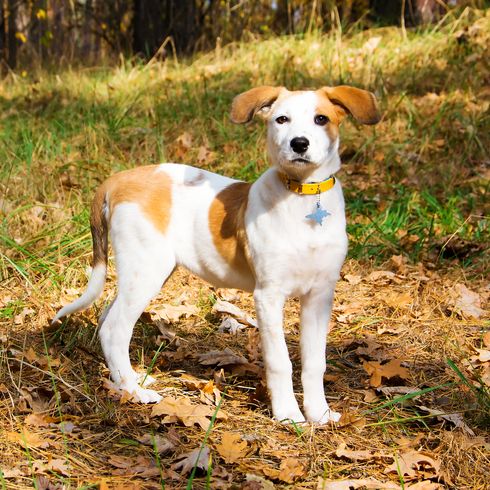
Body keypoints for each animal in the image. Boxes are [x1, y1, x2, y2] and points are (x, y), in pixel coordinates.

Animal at [54, 83, 382, 422]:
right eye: (281, 119)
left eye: (321, 119)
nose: (299, 144)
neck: (301, 197)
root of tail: (118, 180)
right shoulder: (268, 295)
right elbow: (280, 361)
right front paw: (289, 415)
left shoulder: (319, 296)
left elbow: (315, 362)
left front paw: (319, 414)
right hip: (147, 269)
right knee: (115, 328)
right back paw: (134, 392)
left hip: (143, 271)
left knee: (107, 318)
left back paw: (128, 380)